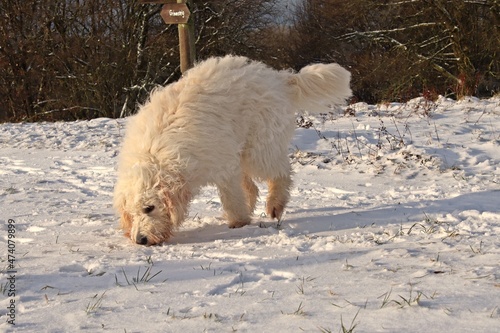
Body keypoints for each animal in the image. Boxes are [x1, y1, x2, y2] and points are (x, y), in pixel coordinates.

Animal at [113, 55, 350, 244]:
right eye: (131, 213)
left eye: (149, 208)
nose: (141, 240)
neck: (155, 155)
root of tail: (278, 78)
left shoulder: (223, 164)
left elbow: (231, 196)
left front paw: (238, 221)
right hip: (242, 151)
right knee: (252, 186)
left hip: (258, 148)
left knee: (282, 172)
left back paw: (275, 204)